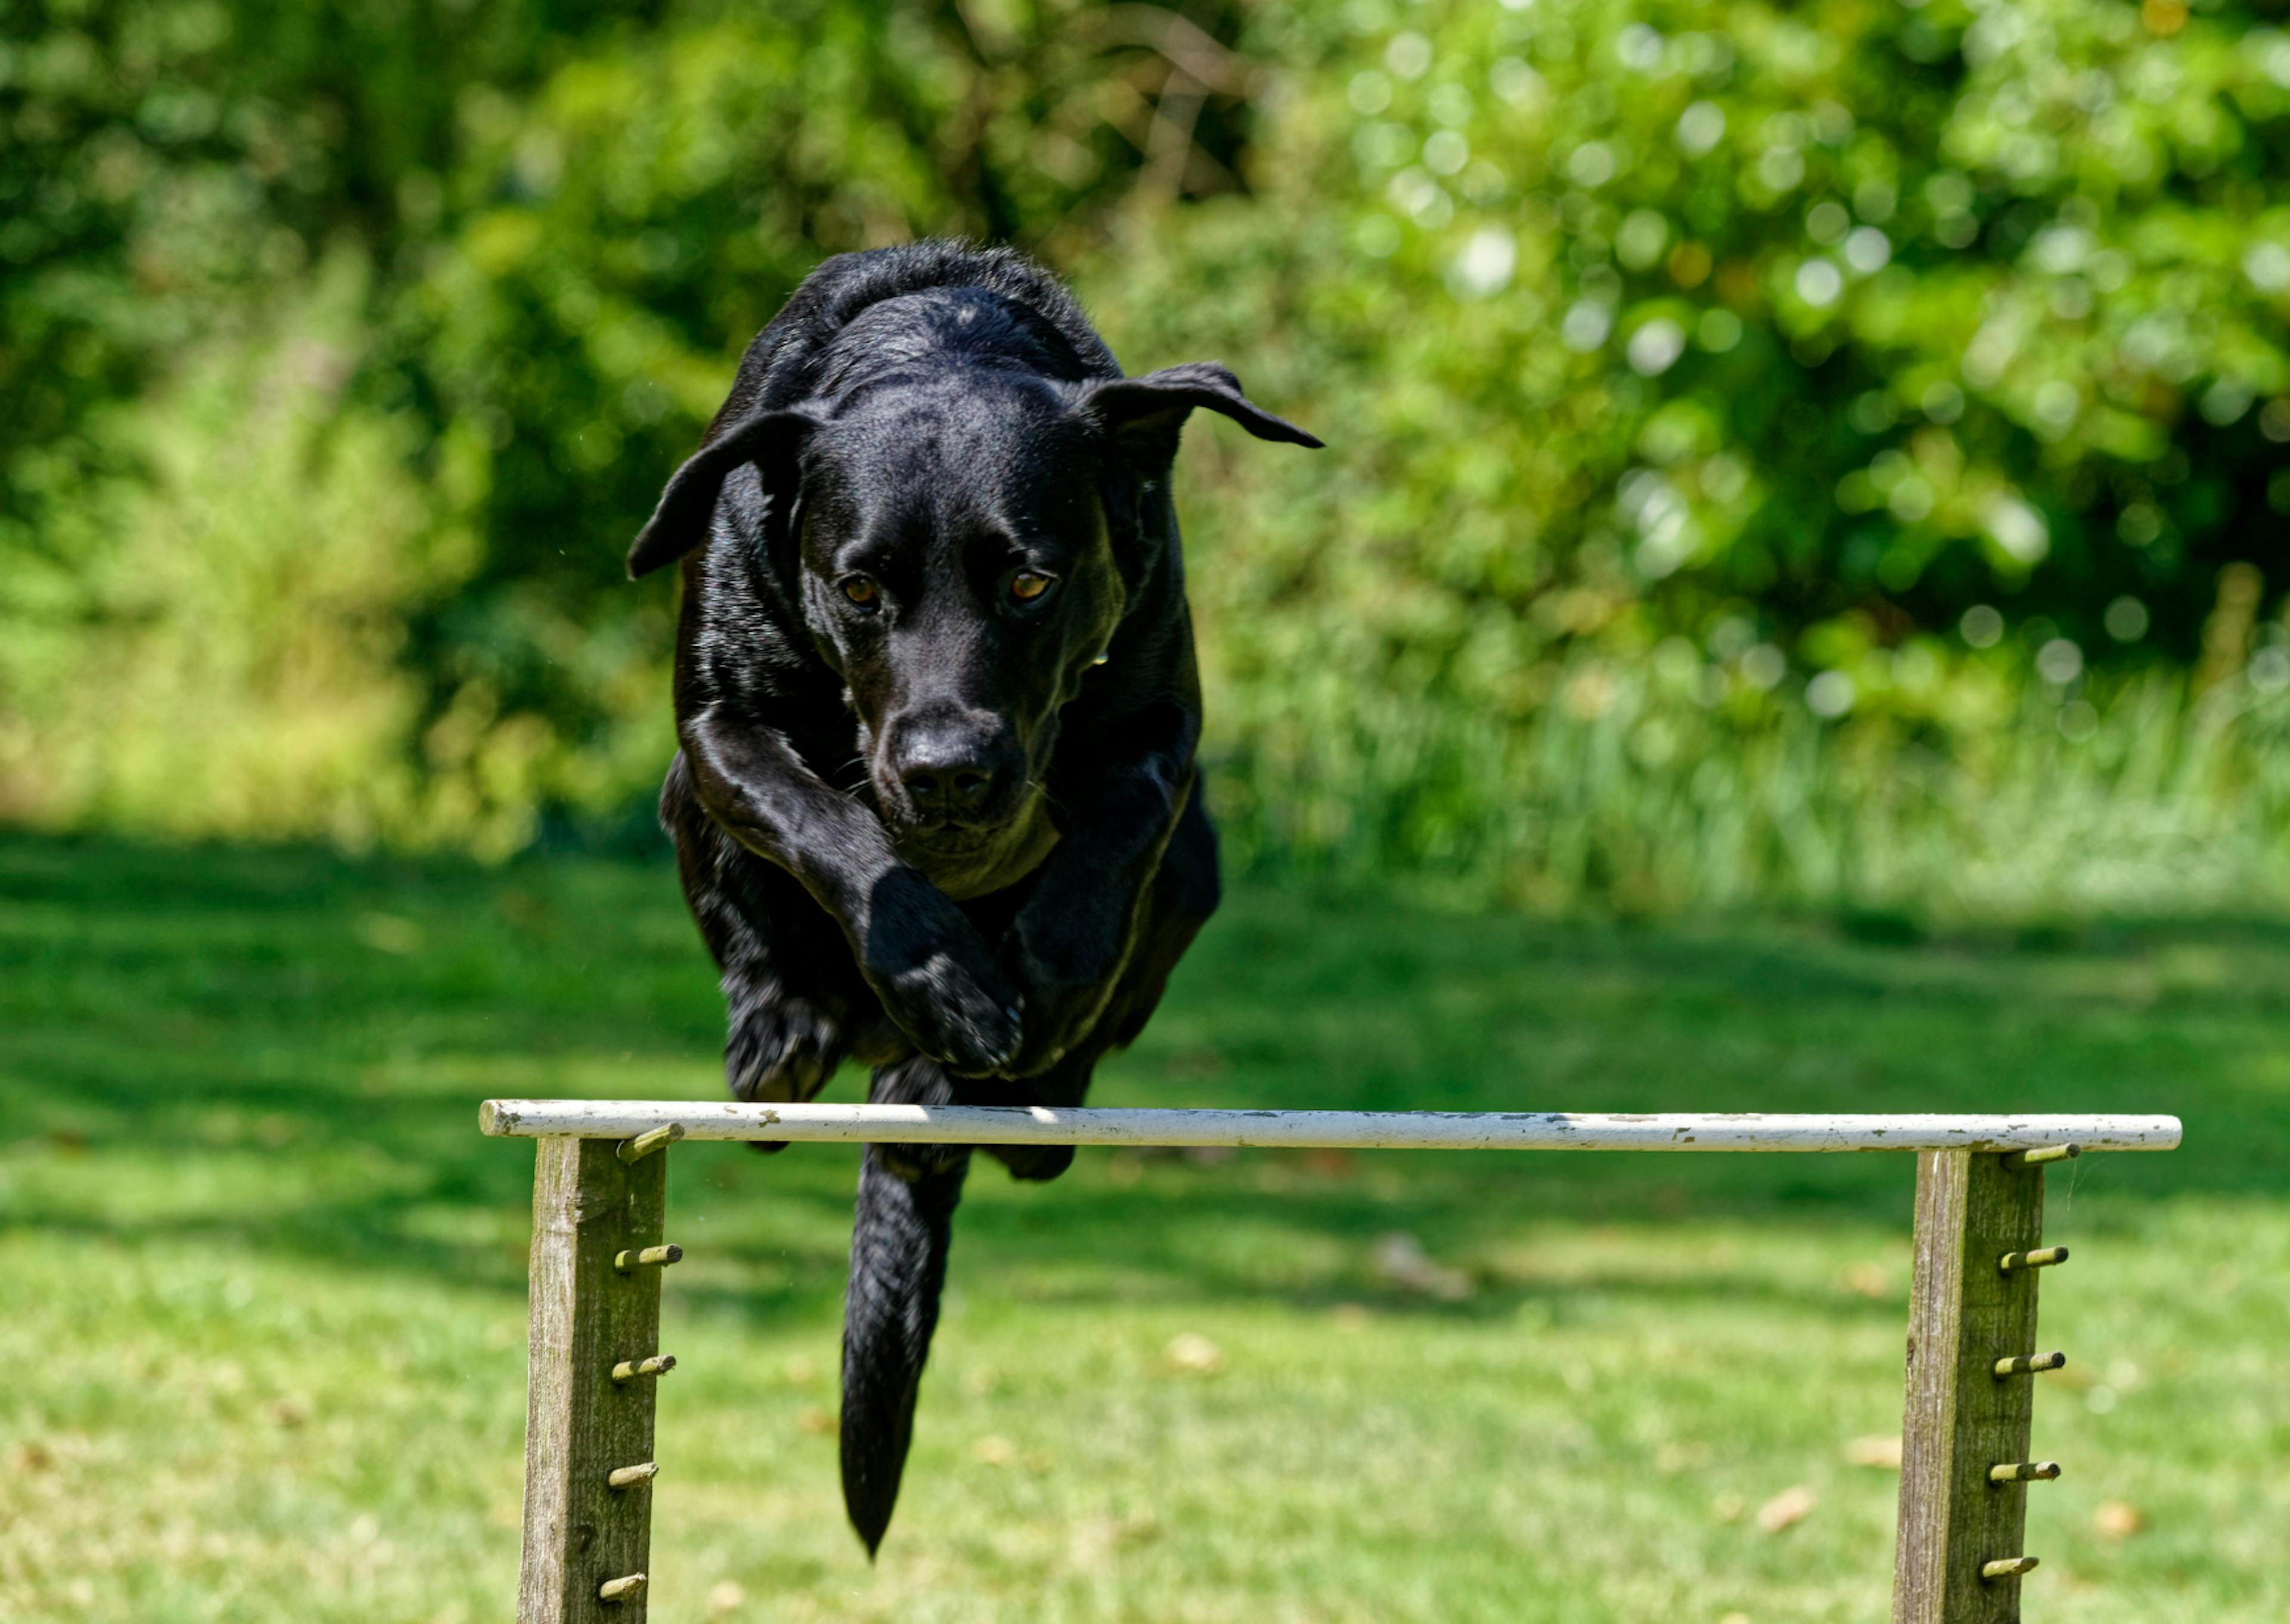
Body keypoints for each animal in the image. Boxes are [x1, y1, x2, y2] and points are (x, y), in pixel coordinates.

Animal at [627, 237, 1319, 1548]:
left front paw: (1042, 969)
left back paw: (966, 1080)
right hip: (693, 816)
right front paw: (948, 974)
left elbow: (1114, 828)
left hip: (1195, 875)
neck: (942, 337)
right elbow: (830, 825)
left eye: (1032, 585)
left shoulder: (1160, 713)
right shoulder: (720, 727)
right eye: (858, 590)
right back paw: (795, 1034)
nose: (949, 769)